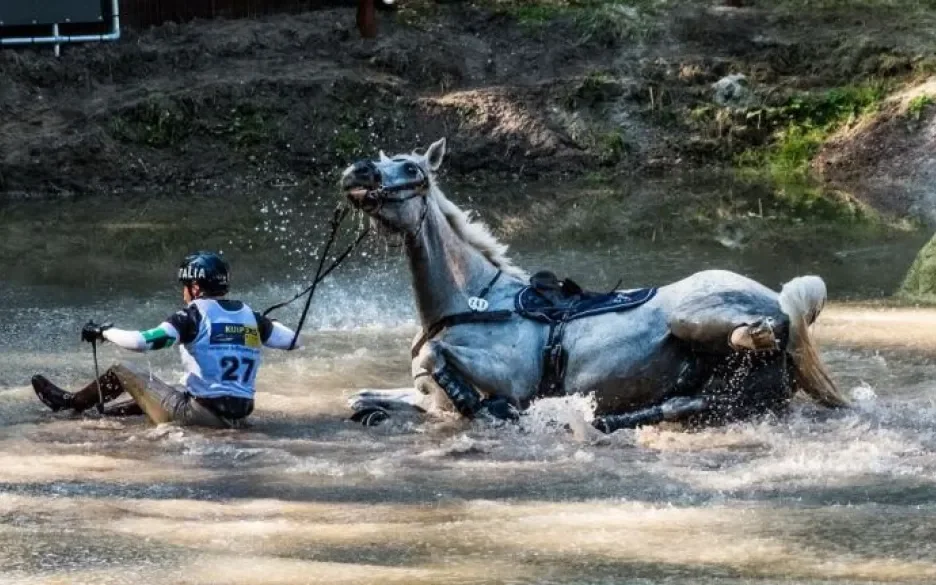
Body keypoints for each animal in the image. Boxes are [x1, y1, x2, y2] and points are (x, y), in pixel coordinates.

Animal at [342, 136, 848, 428]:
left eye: (412, 169)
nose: (357, 170)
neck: (475, 301)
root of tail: (775, 299)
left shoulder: (510, 376)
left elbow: (437, 357)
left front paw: (485, 405)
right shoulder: (430, 401)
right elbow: (368, 396)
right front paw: (372, 406)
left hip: (696, 315)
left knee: (761, 330)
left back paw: (754, 332)